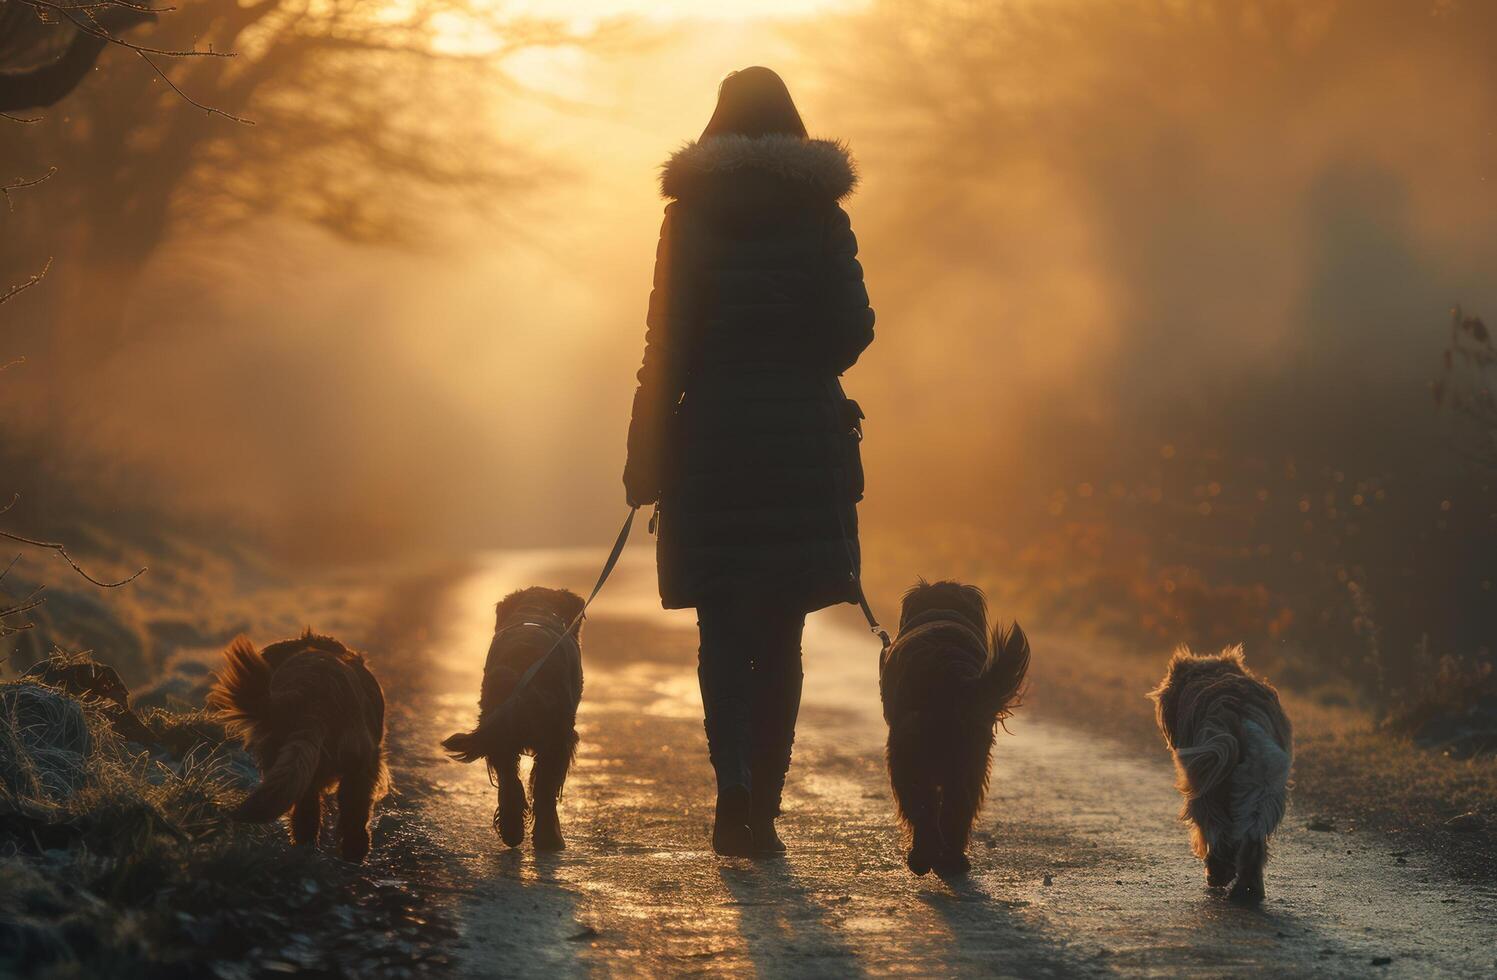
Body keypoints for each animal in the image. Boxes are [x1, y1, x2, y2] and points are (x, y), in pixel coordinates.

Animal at [437, 589, 583, 849]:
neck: (537, 609)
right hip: (555, 740)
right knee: (543, 790)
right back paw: (549, 838)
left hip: (500, 736)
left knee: (510, 784)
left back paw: (512, 831)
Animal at [874, 577, 1029, 879]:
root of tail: (946, 669)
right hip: (971, 761)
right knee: (957, 809)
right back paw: (953, 860)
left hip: (906, 755)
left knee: (922, 807)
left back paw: (923, 857)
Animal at [1149, 643, 1293, 903]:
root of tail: (1240, 714)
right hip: (1262, 788)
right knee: (1252, 841)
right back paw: (1248, 890)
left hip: (1209, 787)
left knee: (1216, 830)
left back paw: (1218, 874)